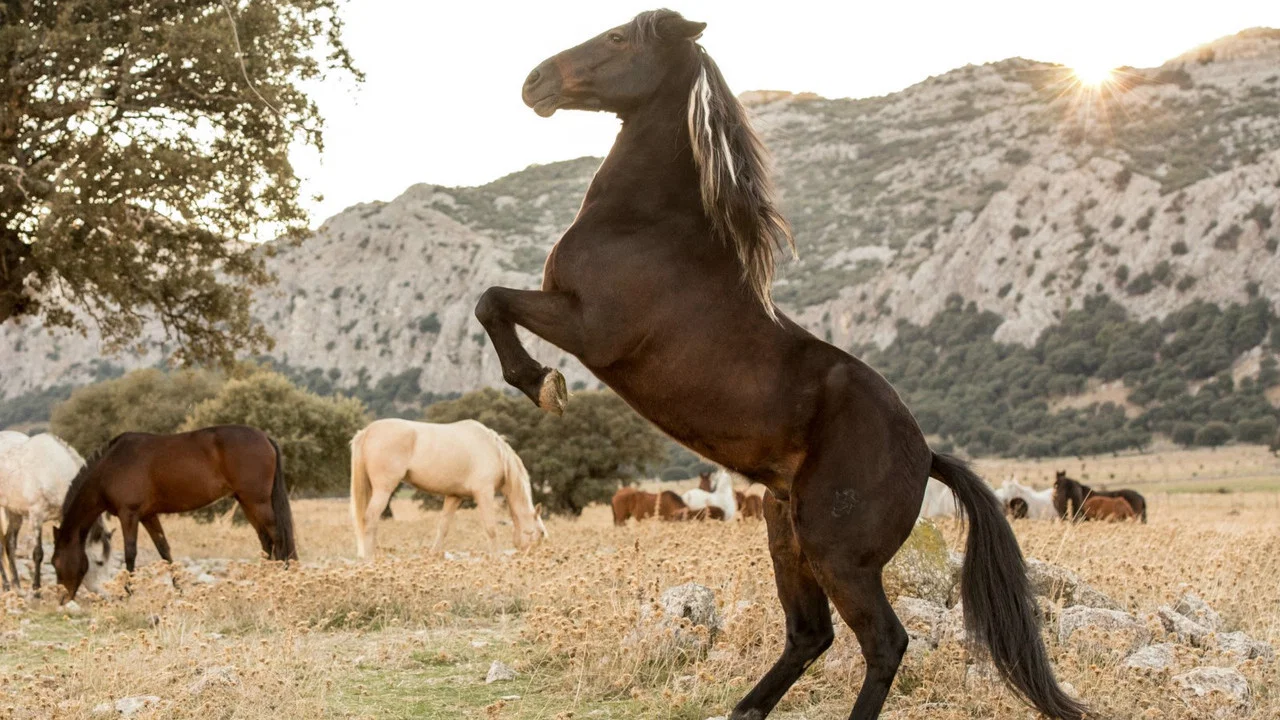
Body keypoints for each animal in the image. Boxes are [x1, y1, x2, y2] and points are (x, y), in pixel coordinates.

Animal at [0, 432, 112, 593]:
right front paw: (36, 588)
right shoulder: (36, 516)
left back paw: (17, 586)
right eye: (99, 562)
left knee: (9, 544)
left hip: (14, 512)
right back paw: (6, 585)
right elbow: (38, 553)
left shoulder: (61, 517)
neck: (52, 472)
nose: (107, 591)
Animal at [53, 425, 295, 600]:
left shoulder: (128, 514)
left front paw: (129, 592)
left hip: (257, 501)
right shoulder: (148, 516)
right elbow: (164, 551)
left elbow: (130, 553)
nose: (62, 599)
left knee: (277, 536)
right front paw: (179, 589)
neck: (110, 467)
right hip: (246, 502)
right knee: (265, 539)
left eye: (56, 562)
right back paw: (264, 580)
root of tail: (265, 437)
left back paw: (281, 577)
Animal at [349, 418, 548, 557]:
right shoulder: (484, 494)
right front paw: (497, 558)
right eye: (541, 533)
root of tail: (367, 431)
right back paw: (370, 559)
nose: (528, 558)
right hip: (383, 490)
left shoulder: (454, 497)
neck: (495, 451)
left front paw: (434, 556)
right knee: (370, 519)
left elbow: (443, 527)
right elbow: (491, 528)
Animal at [474, 10, 1085, 719]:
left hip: (837, 555)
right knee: (809, 634)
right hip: (784, 533)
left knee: (884, 642)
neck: (645, 224)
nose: (534, 81)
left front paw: (542, 385)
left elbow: (492, 301)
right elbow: (491, 302)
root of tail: (927, 455)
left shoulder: (587, 328)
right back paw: (743, 709)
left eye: (620, 38)